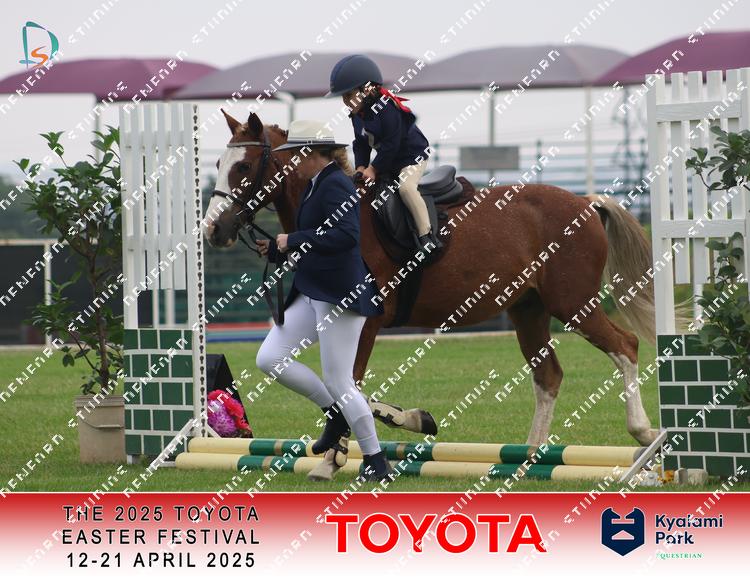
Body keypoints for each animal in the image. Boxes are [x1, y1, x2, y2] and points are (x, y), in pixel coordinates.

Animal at [204, 111, 660, 471]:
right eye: (220, 163)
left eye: (244, 167)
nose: (213, 230)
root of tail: (586, 203)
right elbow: (343, 388)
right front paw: (406, 419)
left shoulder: (365, 322)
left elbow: (349, 383)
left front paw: (340, 453)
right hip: (527, 310)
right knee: (548, 375)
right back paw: (528, 456)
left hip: (573, 303)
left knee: (626, 345)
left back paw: (642, 432)